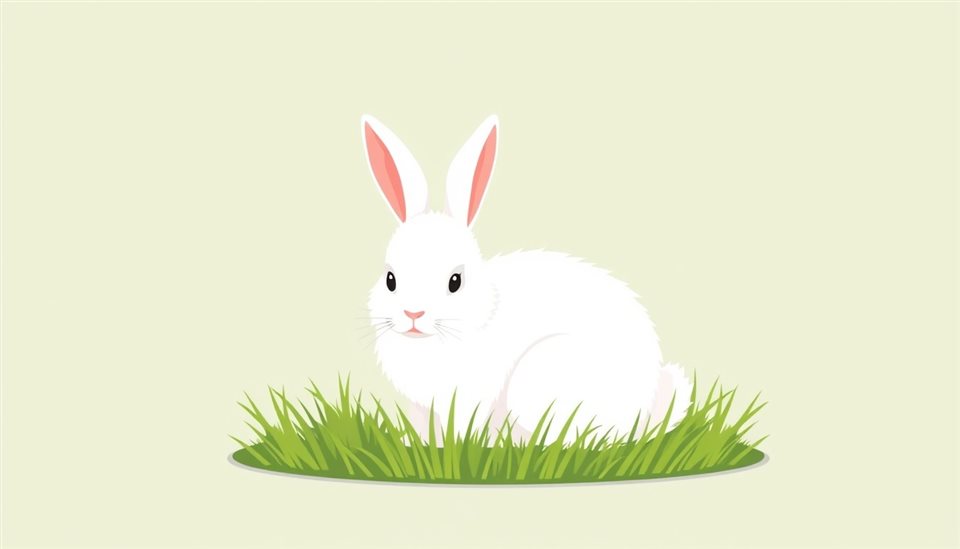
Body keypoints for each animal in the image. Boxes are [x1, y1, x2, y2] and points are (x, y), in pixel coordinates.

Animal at [361, 114, 693, 444]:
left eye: (455, 281)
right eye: (390, 279)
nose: (413, 314)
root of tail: (642, 413)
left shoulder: (469, 397)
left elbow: (464, 428)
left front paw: (460, 447)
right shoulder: (419, 406)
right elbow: (422, 430)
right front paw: (421, 445)